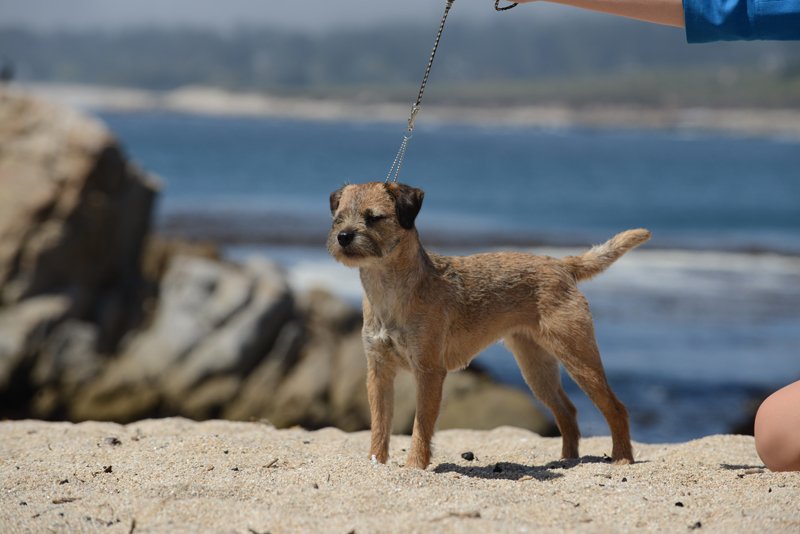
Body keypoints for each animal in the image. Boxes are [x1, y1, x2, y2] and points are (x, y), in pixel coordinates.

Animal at [327, 181, 650, 469]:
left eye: (373, 217)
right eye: (339, 217)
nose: (343, 236)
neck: (390, 288)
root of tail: (560, 264)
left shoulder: (429, 372)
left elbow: (421, 427)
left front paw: (414, 467)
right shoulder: (379, 372)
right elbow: (380, 425)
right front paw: (376, 463)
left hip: (580, 358)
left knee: (616, 407)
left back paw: (622, 458)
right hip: (537, 370)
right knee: (567, 410)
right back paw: (568, 460)